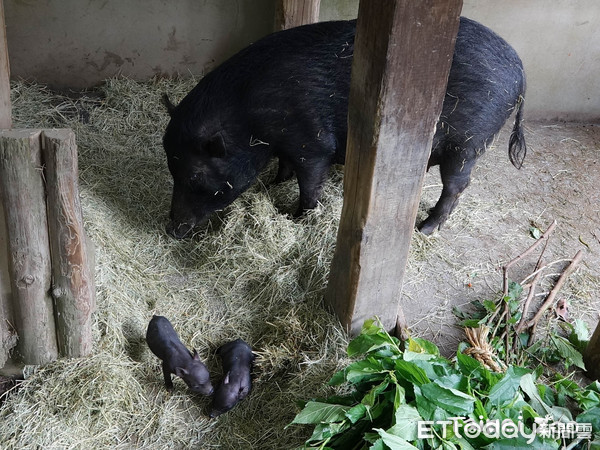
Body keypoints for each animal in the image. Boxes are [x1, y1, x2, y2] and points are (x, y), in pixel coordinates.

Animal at [163, 15, 524, 237]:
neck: (250, 118)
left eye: (194, 177)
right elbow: (284, 165)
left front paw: (299, 217)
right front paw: (276, 182)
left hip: (468, 143)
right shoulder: (286, 144)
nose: (171, 229)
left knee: (457, 186)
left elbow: (310, 184)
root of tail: (521, 72)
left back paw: (424, 229)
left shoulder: (312, 142)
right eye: (171, 169)